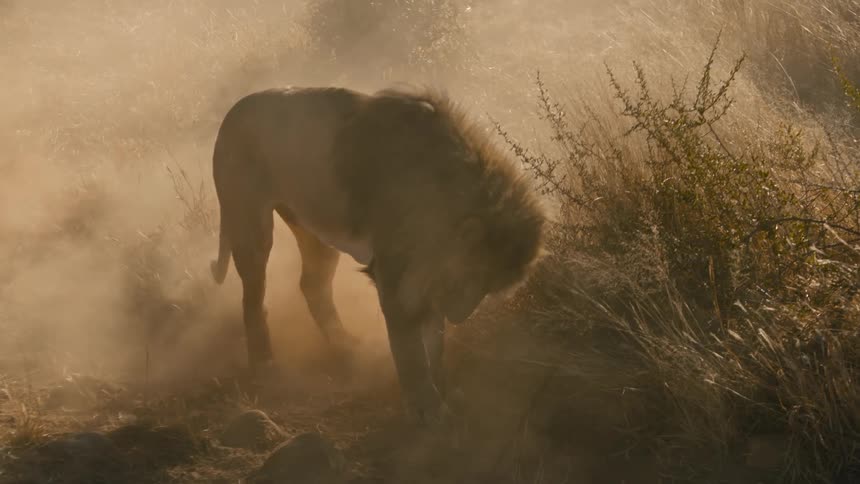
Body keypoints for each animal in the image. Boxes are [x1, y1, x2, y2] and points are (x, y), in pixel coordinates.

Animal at [210, 85, 547, 425]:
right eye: (472, 279)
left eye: (488, 290)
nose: (460, 316)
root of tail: (232, 112)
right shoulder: (396, 277)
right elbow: (411, 351)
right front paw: (427, 408)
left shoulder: (428, 279)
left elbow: (434, 341)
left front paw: (443, 388)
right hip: (250, 222)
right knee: (252, 300)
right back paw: (266, 365)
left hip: (316, 229)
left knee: (312, 285)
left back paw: (345, 345)